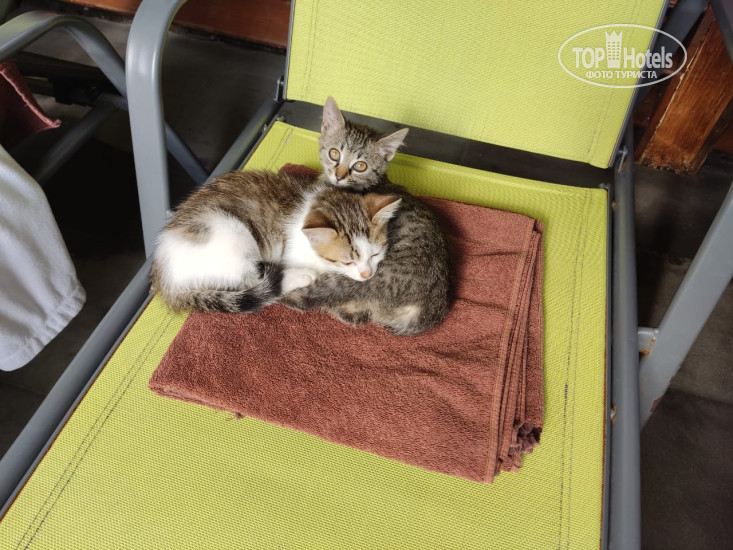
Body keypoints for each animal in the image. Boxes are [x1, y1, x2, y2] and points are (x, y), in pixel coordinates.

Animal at [151, 169, 401, 314]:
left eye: (375, 254)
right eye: (348, 261)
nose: (367, 274)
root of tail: (165, 282)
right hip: (230, 232)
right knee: (252, 280)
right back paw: (299, 276)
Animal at [280, 98, 452, 336]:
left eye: (360, 166)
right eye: (334, 153)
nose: (339, 175)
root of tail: (425, 311)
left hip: (361, 276)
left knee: (307, 298)